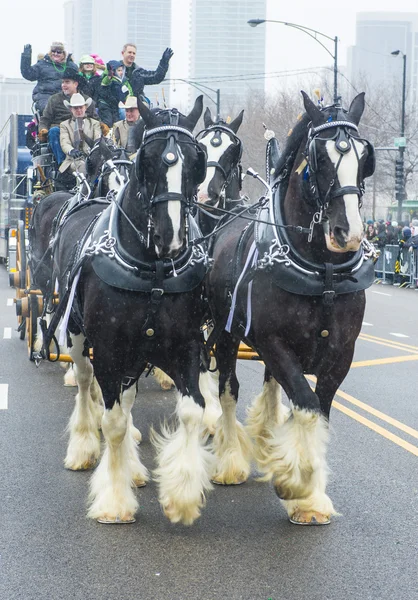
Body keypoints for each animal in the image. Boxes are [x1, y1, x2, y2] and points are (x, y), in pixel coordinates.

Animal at [52, 95, 219, 524]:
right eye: (150, 159)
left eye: (195, 161)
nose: (170, 236)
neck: (153, 271)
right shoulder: (110, 348)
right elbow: (112, 422)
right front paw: (113, 500)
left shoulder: (186, 344)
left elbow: (191, 411)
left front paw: (182, 496)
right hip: (80, 338)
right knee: (85, 383)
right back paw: (83, 447)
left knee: (126, 402)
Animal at [205, 92, 376, 524]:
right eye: (319, 158)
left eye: (364, 156)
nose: (348, 233)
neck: (323, 272)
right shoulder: (271, 340)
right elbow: (305, 402)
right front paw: (296, 484)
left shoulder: (341, 353)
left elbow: (319, 409)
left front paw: (308, 494)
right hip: (227, 334)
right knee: (228, 389)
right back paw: (230, 462)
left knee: (269, 386)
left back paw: (268, 442)